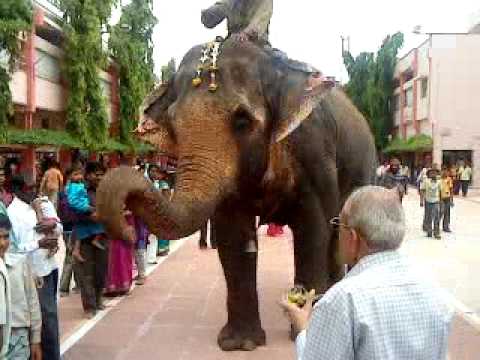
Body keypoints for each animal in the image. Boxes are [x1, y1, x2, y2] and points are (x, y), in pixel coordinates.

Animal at [96, 38, 376, 352]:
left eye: (242, 120)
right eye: (173, 123)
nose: (130, 233)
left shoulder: (314, 151)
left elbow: (314, 229)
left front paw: (306, 327)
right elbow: (233, 235)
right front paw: (240, 344)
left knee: (338, 230)